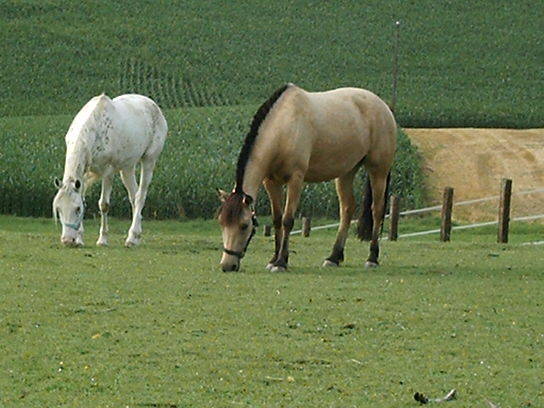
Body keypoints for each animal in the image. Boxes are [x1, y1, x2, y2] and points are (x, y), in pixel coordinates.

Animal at [53, 93, 168, 245]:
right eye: (58, 208)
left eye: (77, 209)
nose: (67, 240)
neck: (95, 129)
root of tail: (154, 105)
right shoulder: (83, 175)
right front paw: (79, 239)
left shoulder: (108, 172)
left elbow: (104, 204)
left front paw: (102, 239)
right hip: (127, 168)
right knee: (134, 196)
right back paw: (135, 237)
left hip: (149, 160)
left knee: (140, 196)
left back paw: (132, 237)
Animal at [217, 83, 396, 272]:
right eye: (221, 222)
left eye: (244, 225)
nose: (227, 265)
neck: (284, 127)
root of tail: (384, 107)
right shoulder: (271, 182)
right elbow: (277, 220)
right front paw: (274, 259)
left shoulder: (296, 179)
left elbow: (287, 220)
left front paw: (281, 262)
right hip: (346, 172)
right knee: (347, 209)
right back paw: (333, 257)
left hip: (378, 171)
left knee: (377, 210)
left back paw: (372, 258)